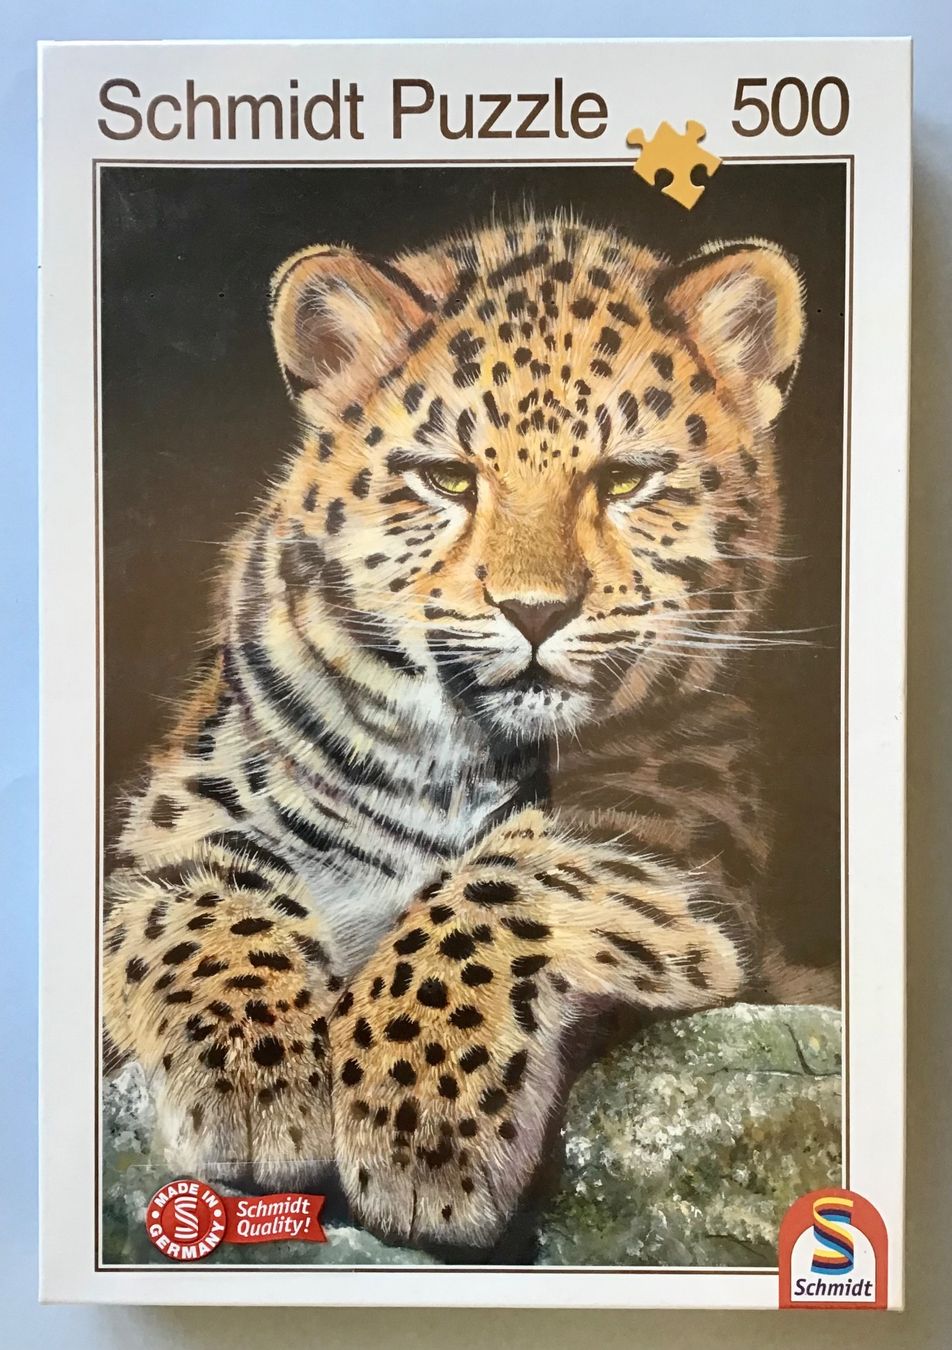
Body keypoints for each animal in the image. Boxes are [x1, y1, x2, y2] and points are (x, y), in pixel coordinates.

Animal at [103, 209, 835, 1259]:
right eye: (447, 478)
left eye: (624, 479)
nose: (536, 613)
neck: (457, 761)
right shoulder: (185, 811)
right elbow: (211, 903)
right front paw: (252, 1078)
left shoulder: (673, 834)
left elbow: (495, 888)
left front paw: (416, 1125)